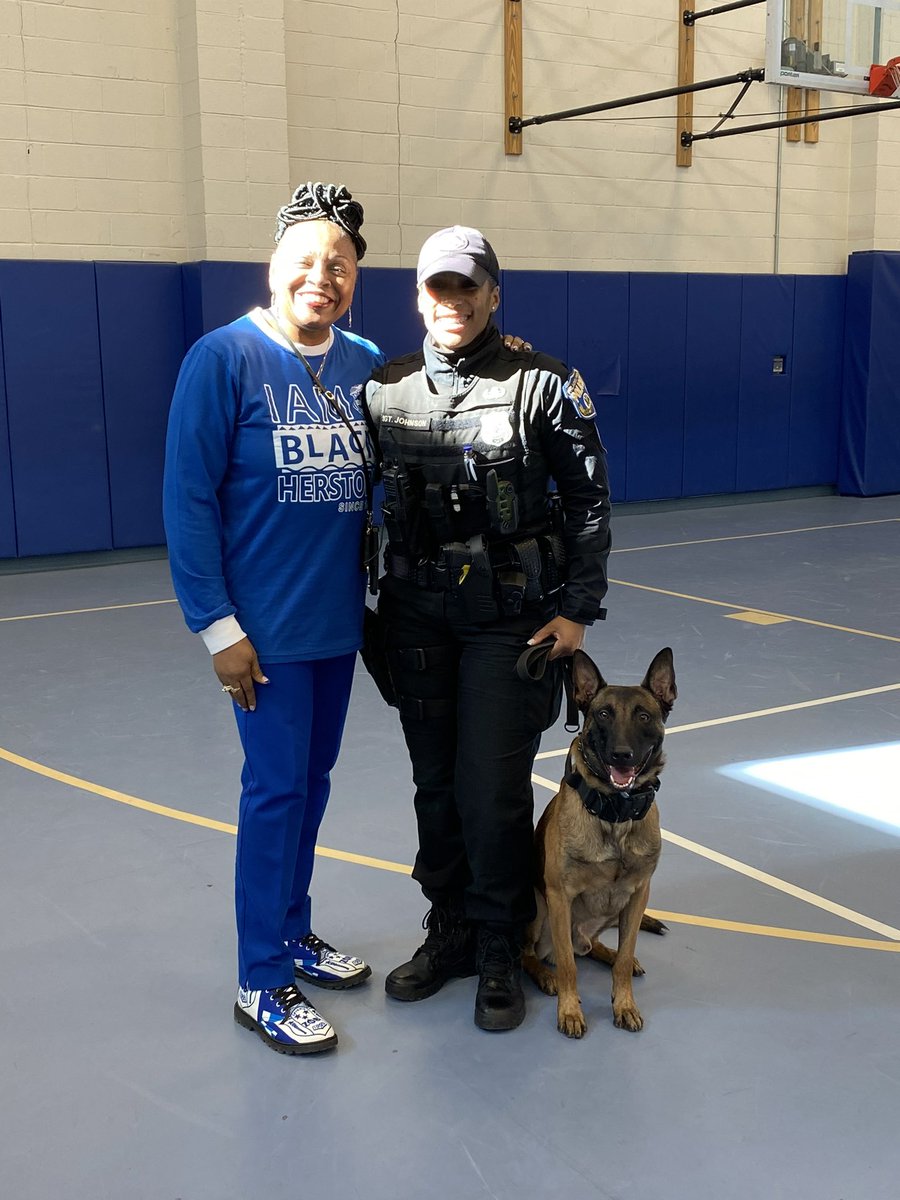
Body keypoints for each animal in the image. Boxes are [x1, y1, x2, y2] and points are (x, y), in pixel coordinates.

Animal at [520, 652, 676, 1036]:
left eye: (643, 716)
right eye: (603, 713)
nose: (622, 755)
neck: (615, 813)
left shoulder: (638, 894)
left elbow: (623, 956)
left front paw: (624, 1002)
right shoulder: (560, 897)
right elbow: (567, 966)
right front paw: (570, 1011)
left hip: (614, 912)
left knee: (594, 948)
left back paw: (612, 954)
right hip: (536, 907)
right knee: (533, 954)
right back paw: (545, 975)